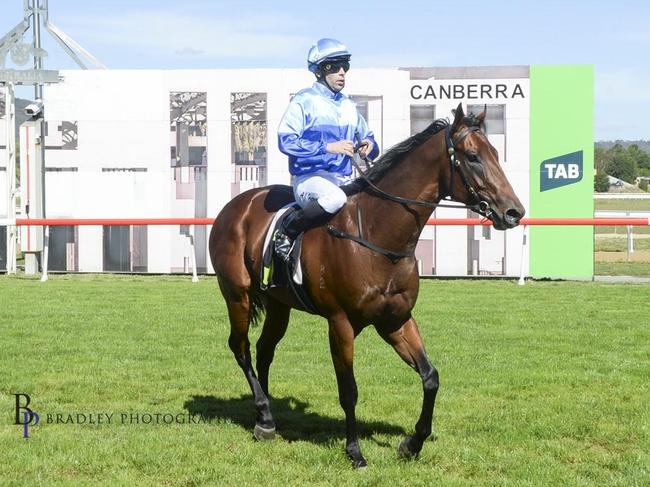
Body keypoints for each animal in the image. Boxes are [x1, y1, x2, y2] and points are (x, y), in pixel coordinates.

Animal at [210, 104, 524, 468]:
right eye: (472, 156)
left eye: (495, 153)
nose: (514, 211)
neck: (376, 234)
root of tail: (237, 204)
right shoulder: (340, 324)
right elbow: (349, 390)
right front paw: (355, 452)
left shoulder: (395, 319)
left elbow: (431, 377)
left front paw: (412, 443)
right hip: (237, 295)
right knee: (241, 347)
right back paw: (263, 413)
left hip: (278, 303)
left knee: (264, 349)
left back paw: (267, 418)